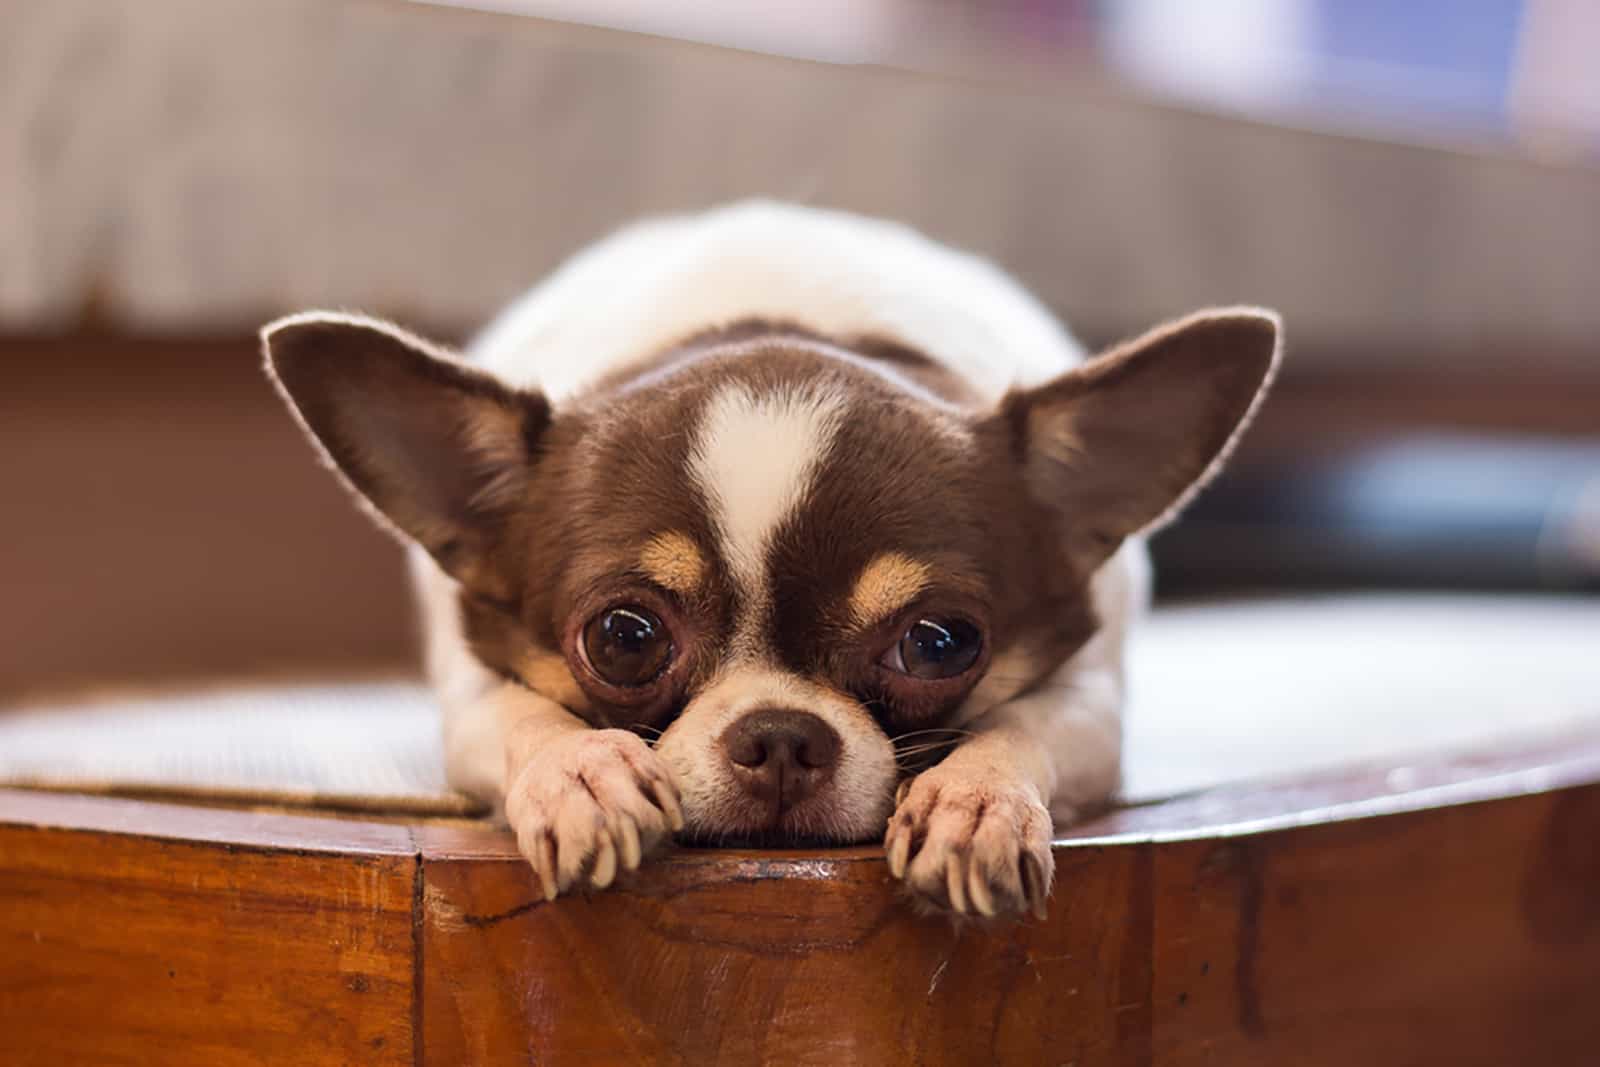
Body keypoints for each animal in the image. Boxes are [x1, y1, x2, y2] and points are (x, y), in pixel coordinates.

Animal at [268, 199, 1280, 921]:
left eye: (941, 643)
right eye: (624, 637)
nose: (783, 736)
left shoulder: (1093, 696)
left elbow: (1020, 725)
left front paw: (975, 800)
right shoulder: (471, 682)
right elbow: (522, 714)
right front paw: (583, 772)